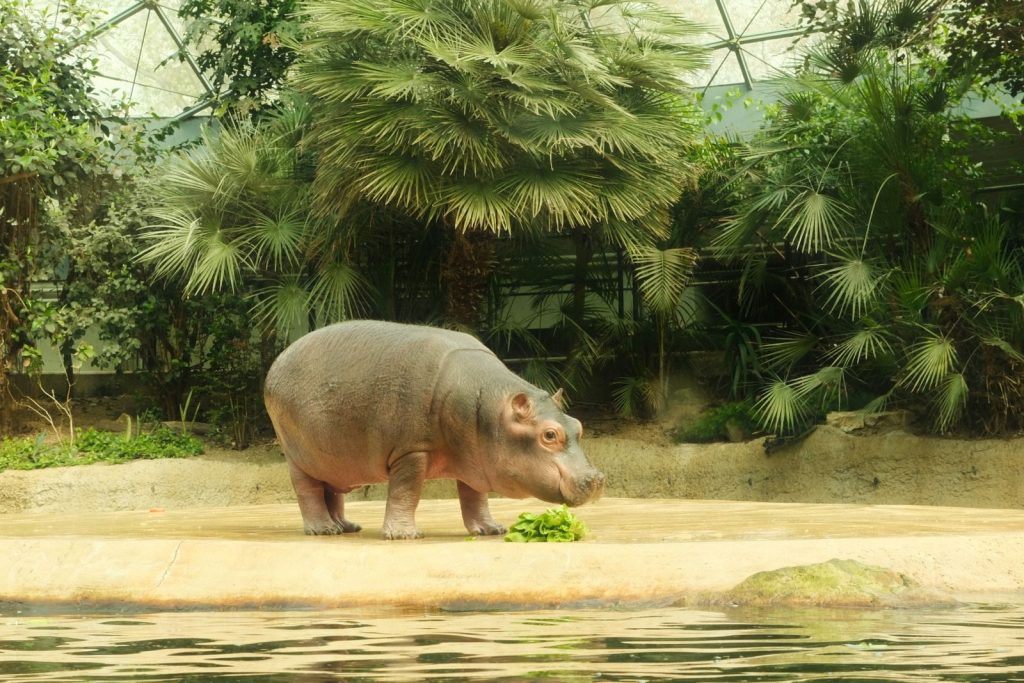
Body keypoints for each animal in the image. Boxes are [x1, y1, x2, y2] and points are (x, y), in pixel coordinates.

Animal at [263, 320, 605, 539]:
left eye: (578, 425)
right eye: (549, 435)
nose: (597, 479)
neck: (490, 407)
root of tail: (276, 363)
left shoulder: (475, 457)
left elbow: (475, 497)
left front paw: (491, 530)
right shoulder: (411, 450)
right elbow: (406, 491)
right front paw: (404, 535)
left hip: (332, 458)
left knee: (331, 490)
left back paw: (345, 527)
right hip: (298, 456)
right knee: (308, 491)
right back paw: (322, 529)